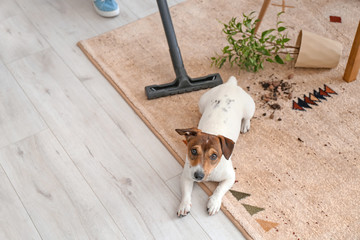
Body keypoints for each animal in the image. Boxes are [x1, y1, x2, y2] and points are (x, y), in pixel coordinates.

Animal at [175, 76, 255, 217]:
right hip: (202, 103)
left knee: (247, 117)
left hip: (250, 108)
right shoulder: (186, 175)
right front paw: (184, 205)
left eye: (214, 156)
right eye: (193, 151)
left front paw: (213, 203)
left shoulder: (230, 178)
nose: (198, 176)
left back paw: (245, 124)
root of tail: (230, 84)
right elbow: (186, 192)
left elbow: (220, 189)